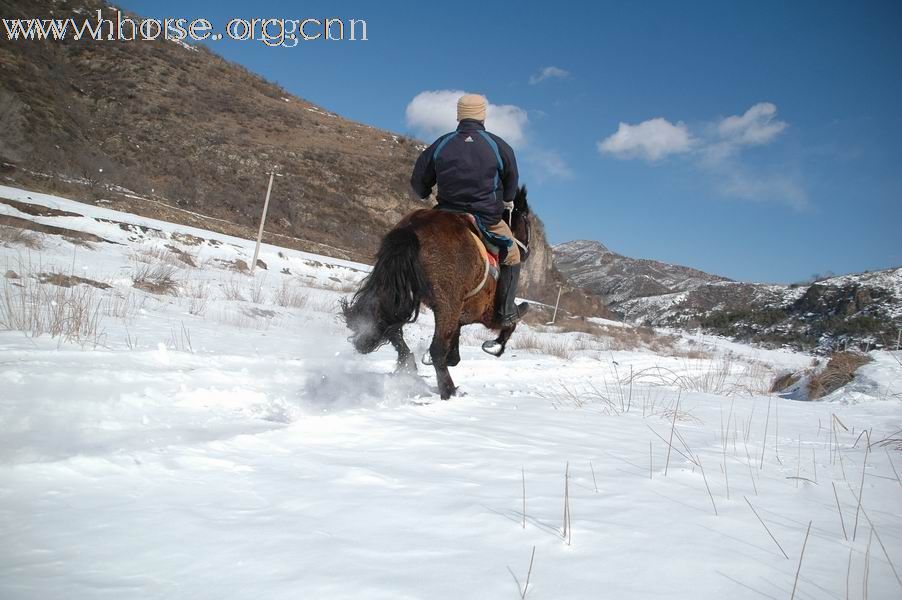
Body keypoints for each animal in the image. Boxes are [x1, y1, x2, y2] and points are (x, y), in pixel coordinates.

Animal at [344, 183, 532, 398]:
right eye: (527, 223)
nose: (527, 252)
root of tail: (413, 228)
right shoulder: (486, 313)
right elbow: (510, 324)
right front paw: (496, 346)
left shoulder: (459, 314)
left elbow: (455, 346)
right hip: (446, 304)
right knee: (436, 348)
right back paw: (448, 390)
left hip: (396, 291)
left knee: (389, 327)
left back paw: (409, 365)